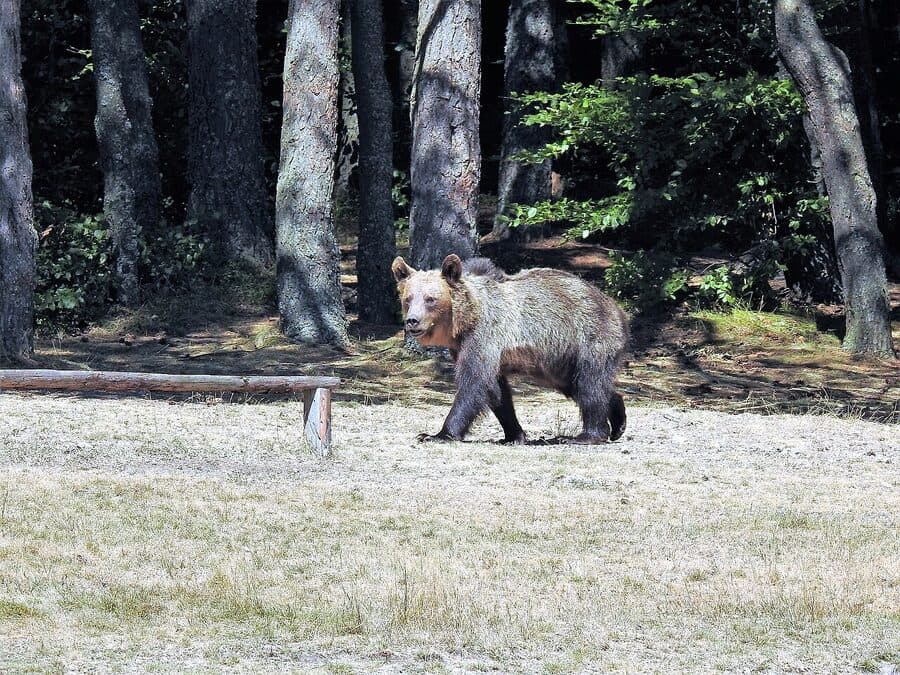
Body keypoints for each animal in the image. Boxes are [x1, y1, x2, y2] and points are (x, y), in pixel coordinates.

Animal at [392, 253, 628, 444]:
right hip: (560, 361)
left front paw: (437, 434)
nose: (412, 321)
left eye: (430, 299)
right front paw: (514, 434)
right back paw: (618, 421)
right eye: (408, 298)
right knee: (578, 385)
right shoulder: (466, 347)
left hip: (588, 338)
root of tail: (616, 308)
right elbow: (497, 392)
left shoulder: (484, 336)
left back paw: (587, 435)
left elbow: (474, 383)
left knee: (589, 384)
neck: (465, 320)